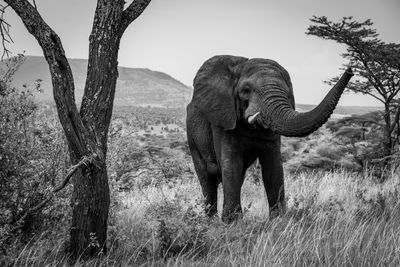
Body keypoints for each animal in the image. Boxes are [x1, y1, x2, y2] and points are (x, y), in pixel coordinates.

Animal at [186, 55, 352, 223]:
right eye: (246, 90)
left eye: (287, 93)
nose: (350, 70)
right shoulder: (223, 118)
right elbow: (231, 163)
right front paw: (232, 222)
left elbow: (273, 166)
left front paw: (278, 221)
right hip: (192, 138)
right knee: (207, 179)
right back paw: (209, 220)